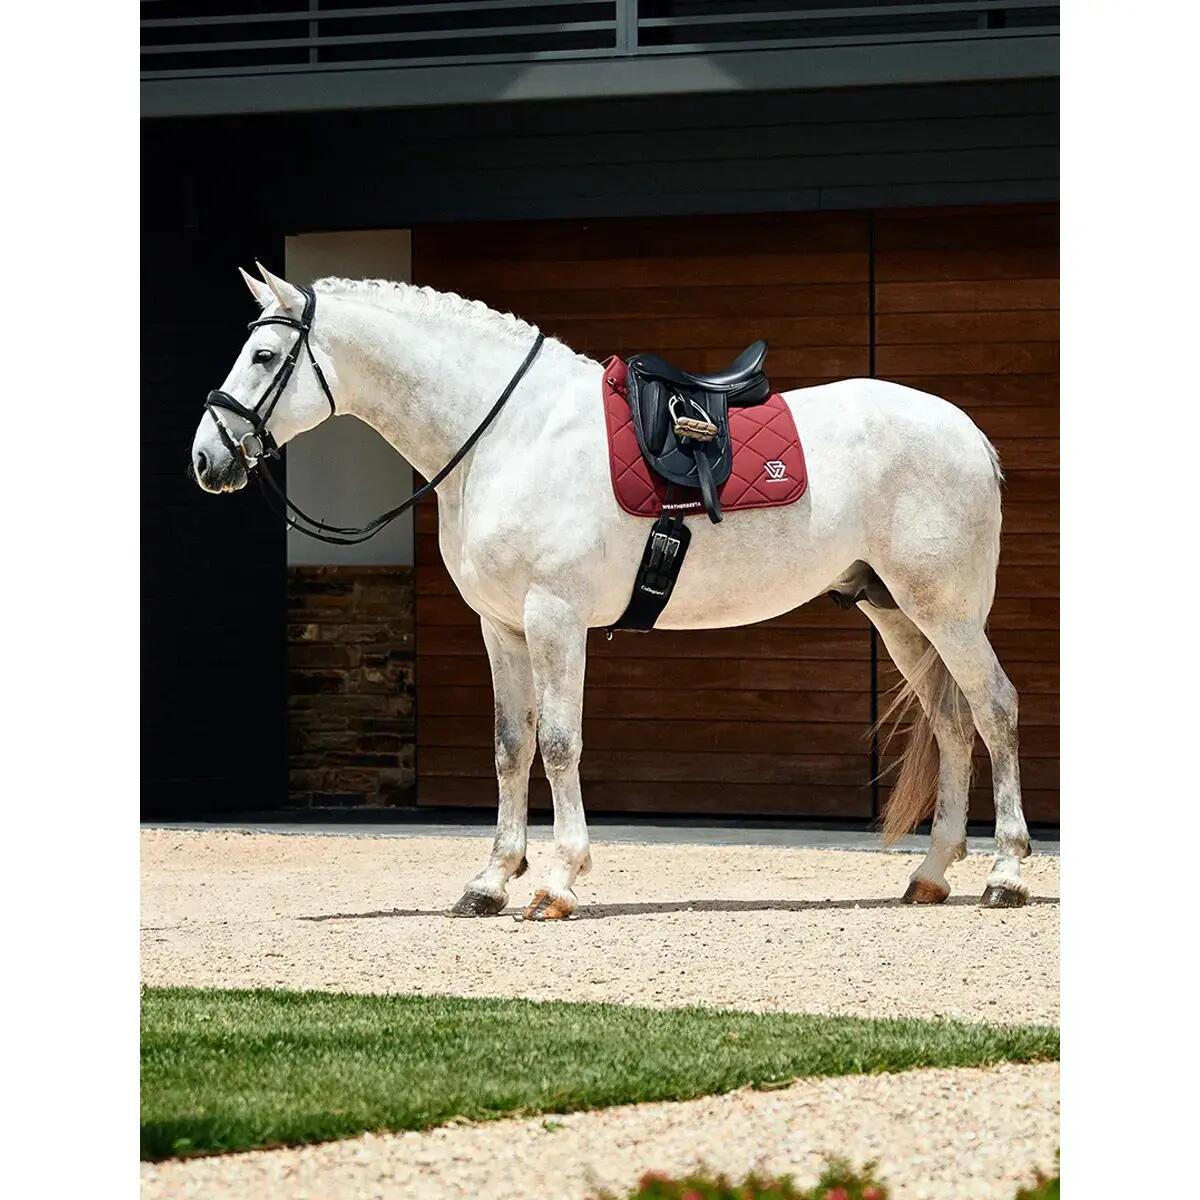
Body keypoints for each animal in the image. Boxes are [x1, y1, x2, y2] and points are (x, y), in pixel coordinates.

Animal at [191, 264, 1032, 919]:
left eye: (263, 354)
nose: (207, 459)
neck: (508, 435)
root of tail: (967, 433)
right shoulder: (502, 626)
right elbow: (510, 747)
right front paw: (490, 882)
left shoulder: (554, 617)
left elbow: (559, 745)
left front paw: (557, 882)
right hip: (898, 613)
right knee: (953, 721)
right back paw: (931, 873)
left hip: (946, 612)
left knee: (993, 708)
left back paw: (1007, 873)